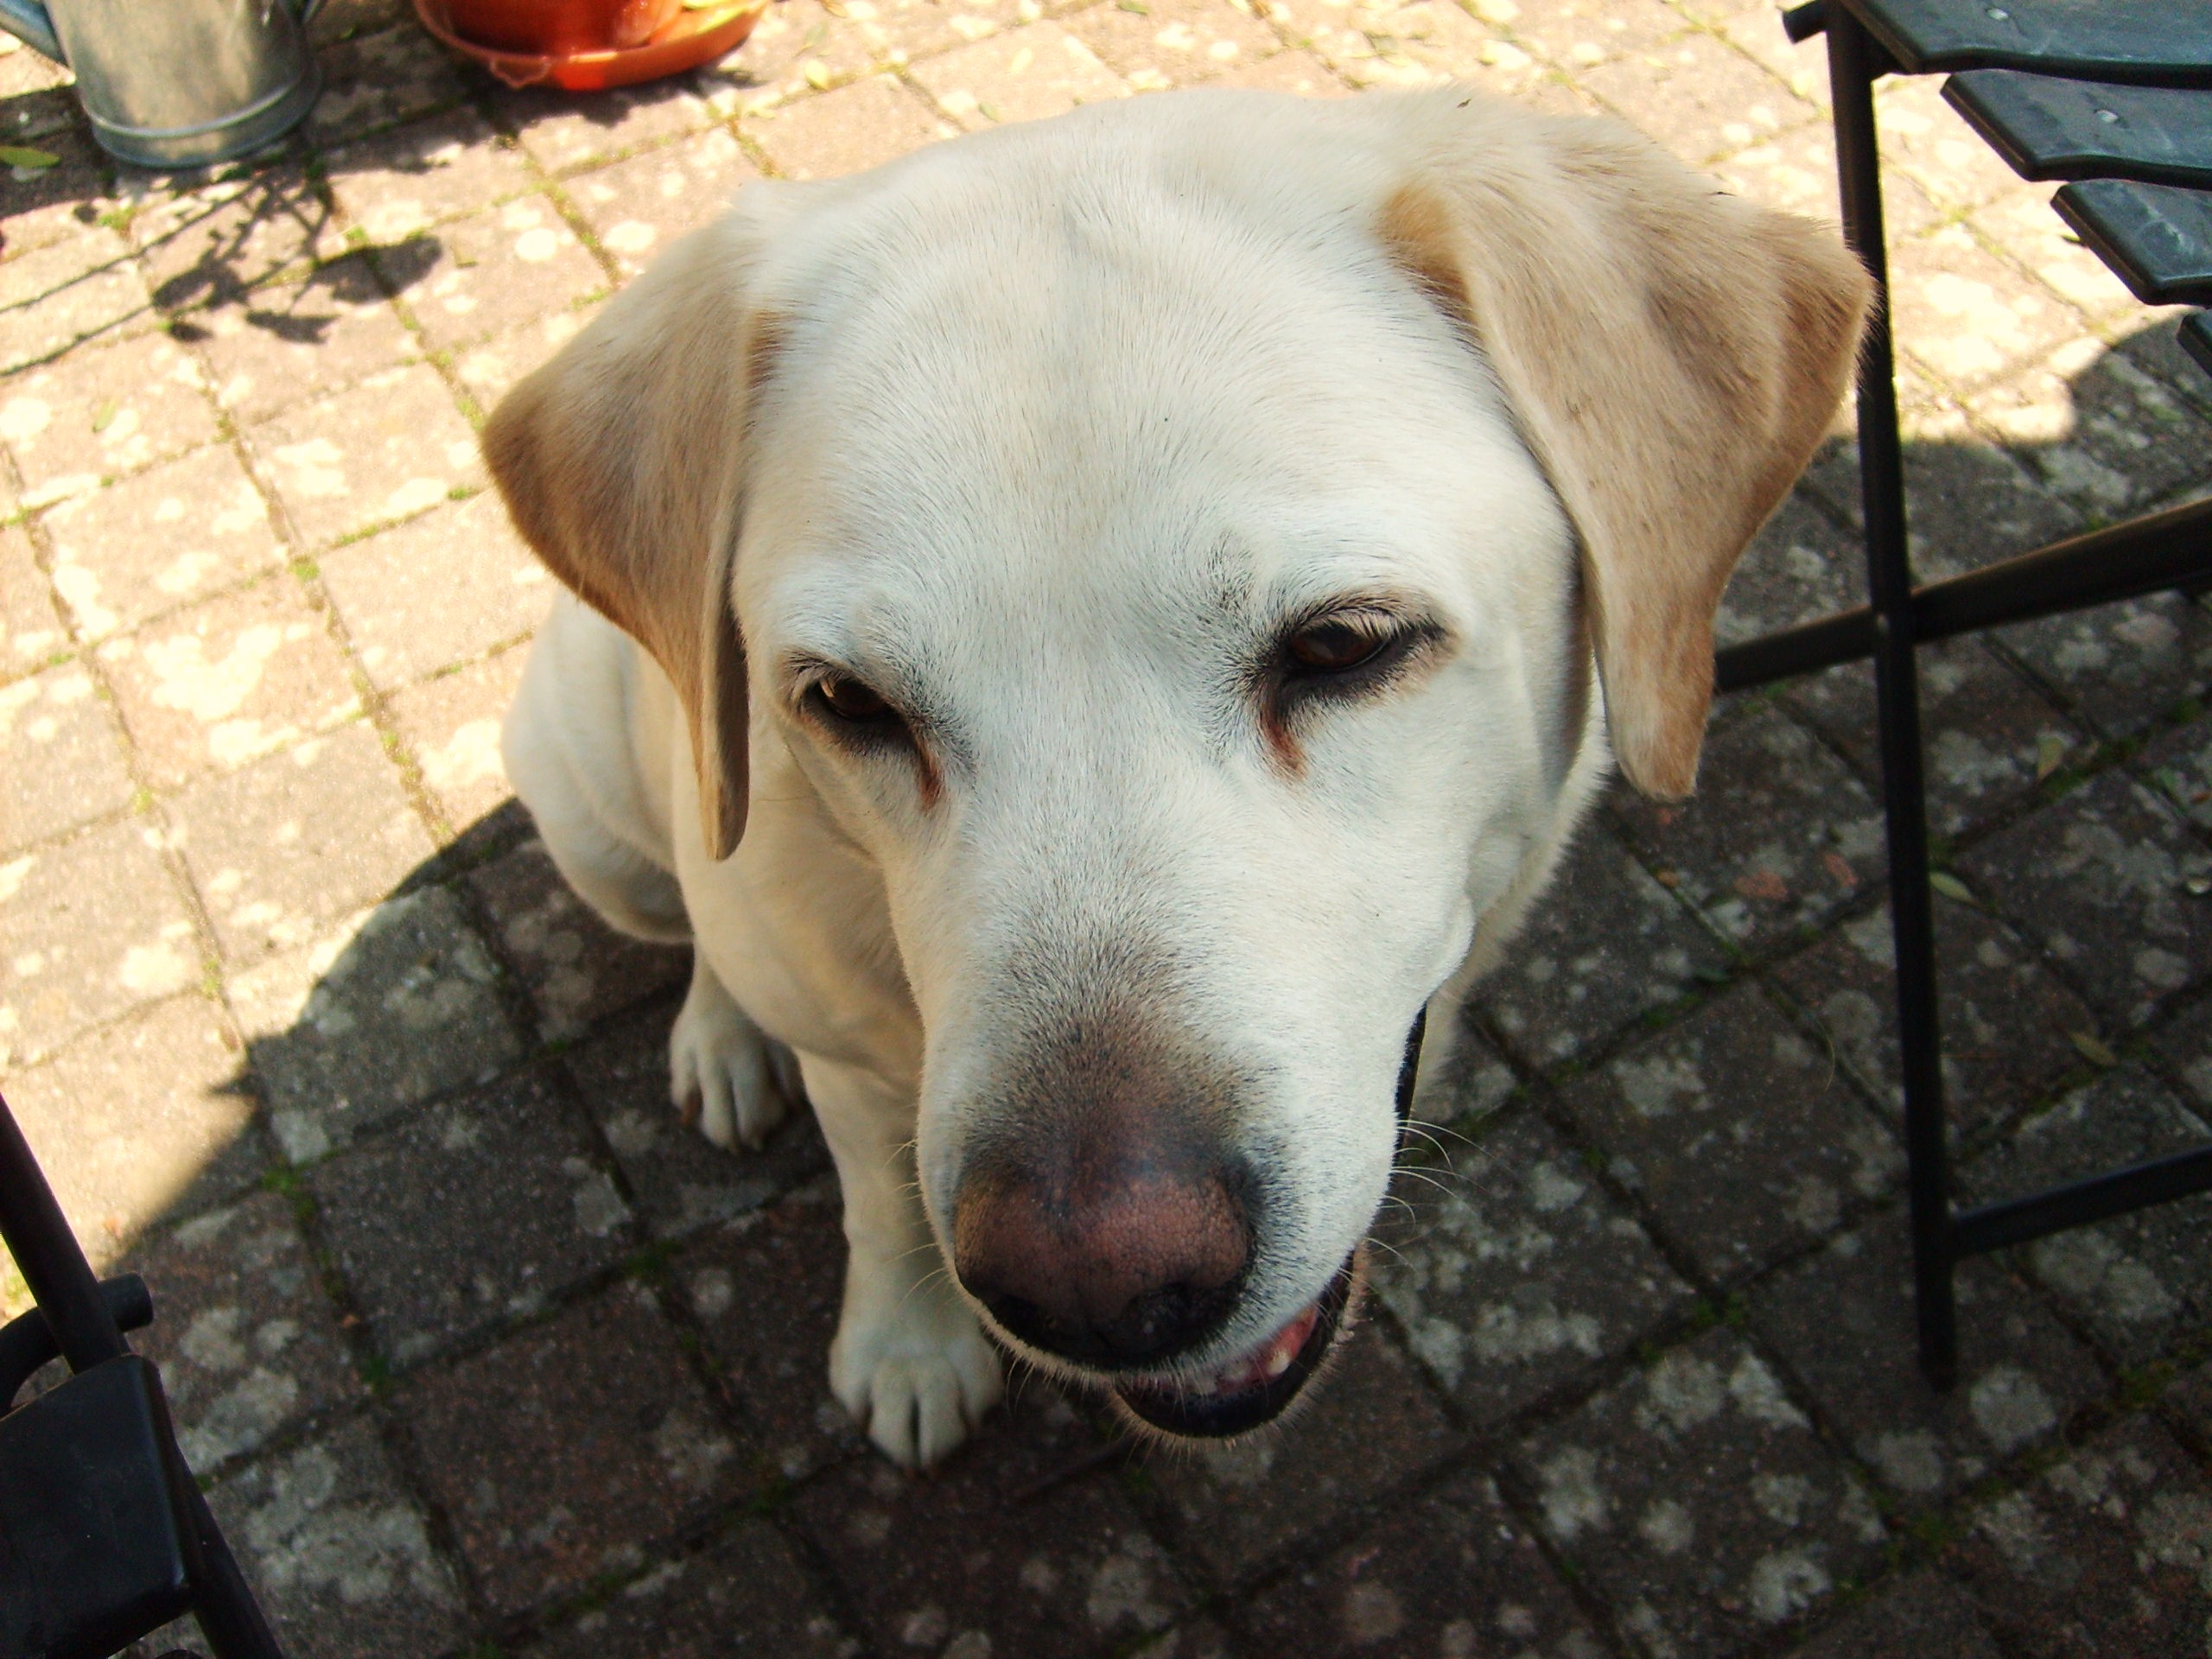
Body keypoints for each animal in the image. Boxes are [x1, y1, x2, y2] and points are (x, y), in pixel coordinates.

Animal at [488, 84, 1866, 1478]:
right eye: (848, 703)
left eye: (1343, 645)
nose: (1097, 1287)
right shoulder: (848, 1051)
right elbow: (878, 1194)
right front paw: (908, 1347)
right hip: (597, 816)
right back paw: (722, 1038)